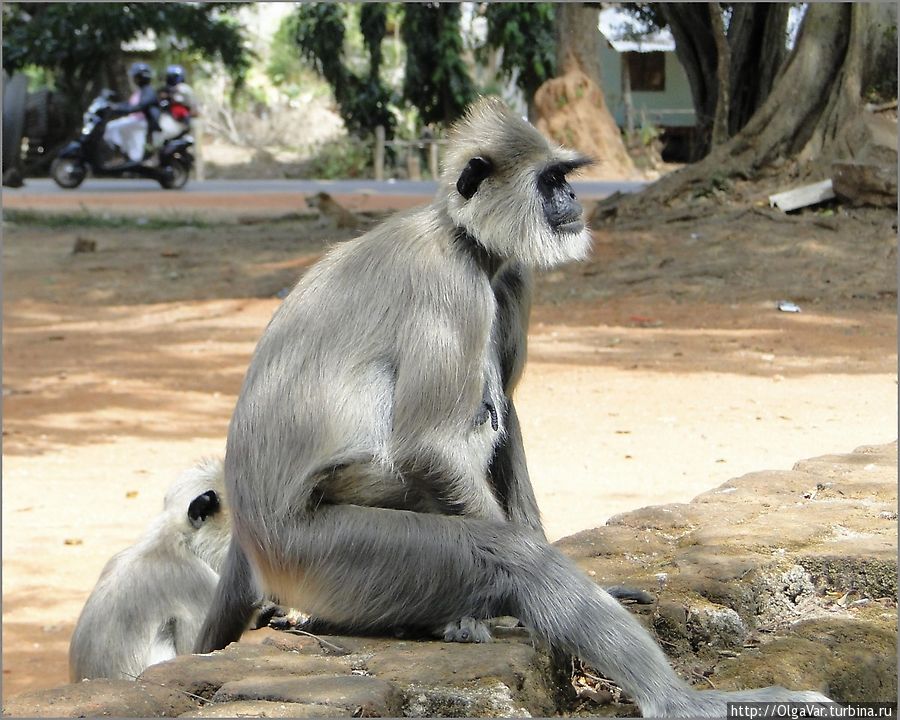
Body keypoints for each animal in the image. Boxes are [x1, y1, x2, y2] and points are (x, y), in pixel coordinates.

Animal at [195, 98, 828, 716]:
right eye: (551, 180)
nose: (572, 200)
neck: (461, 237)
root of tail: (252, 534)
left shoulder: (511, 276)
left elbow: (509, 416)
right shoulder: (450, 284)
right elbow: (428, 445)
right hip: (325, 553)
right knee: (510, 553)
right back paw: (681, 703)